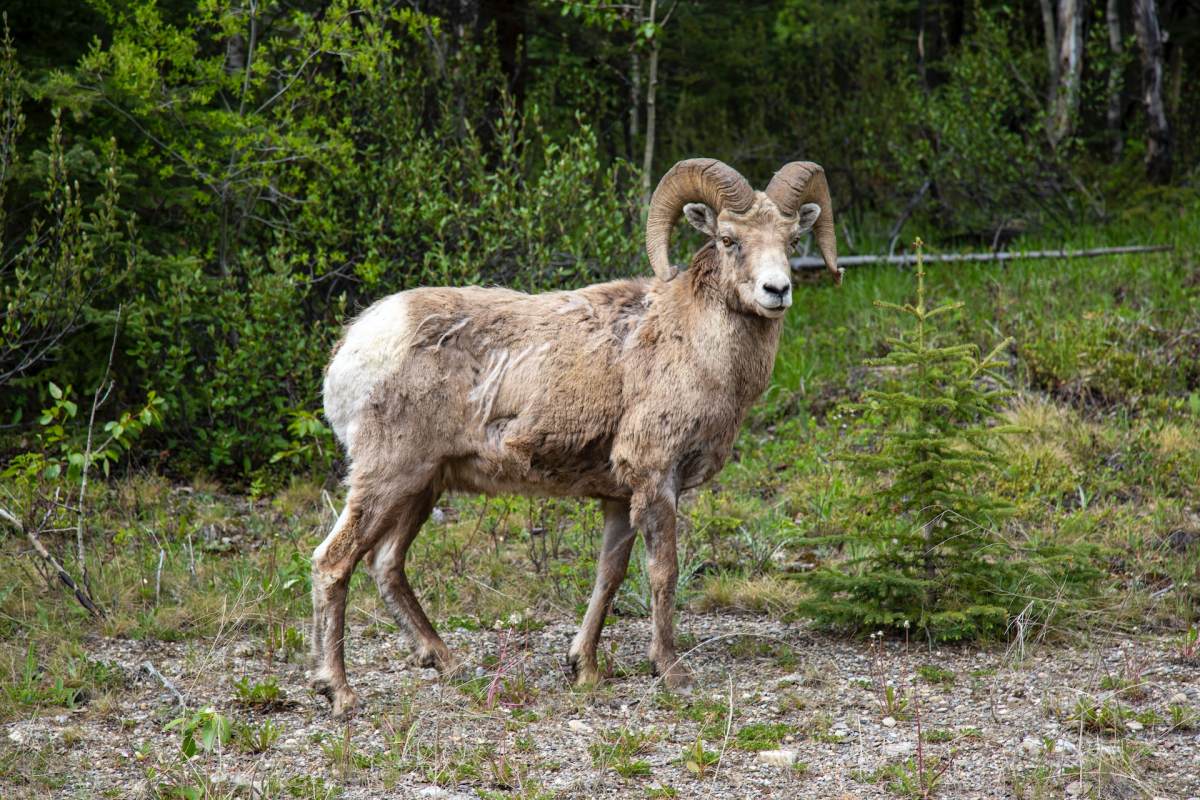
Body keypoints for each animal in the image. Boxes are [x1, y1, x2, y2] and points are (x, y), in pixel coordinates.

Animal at [314, 158, 840, 719]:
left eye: (792, 238)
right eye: (728, 238)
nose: (776, 291)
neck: (696, 347)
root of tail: (354, 346)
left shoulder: (619, 498)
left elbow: (609, 576)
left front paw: (583, 667)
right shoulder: (656, 480)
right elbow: (664, 572)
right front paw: (671, 671)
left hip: (422, 487)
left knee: (386, 564)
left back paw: (447, 662)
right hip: (387, 477)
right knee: (333, 562)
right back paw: (339, 692)